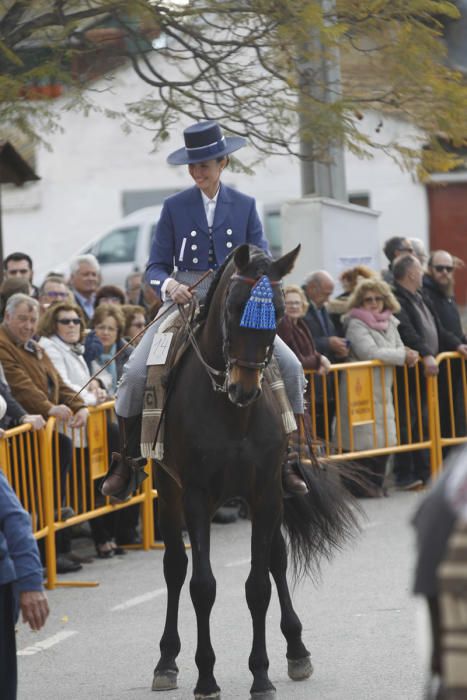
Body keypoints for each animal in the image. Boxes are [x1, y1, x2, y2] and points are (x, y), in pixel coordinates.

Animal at [152, 245, 360, 700]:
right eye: (232, 307)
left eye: (278, 311)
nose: (244, 387)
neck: (234, 415)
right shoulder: (196, 496)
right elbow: (202, 586)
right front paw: (206, 678)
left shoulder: (265, 493)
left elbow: (259, 584)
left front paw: (262, 675)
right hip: (167, 490)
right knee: (175, 567)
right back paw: (166, 660)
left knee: (277, 560)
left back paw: (297, 650)